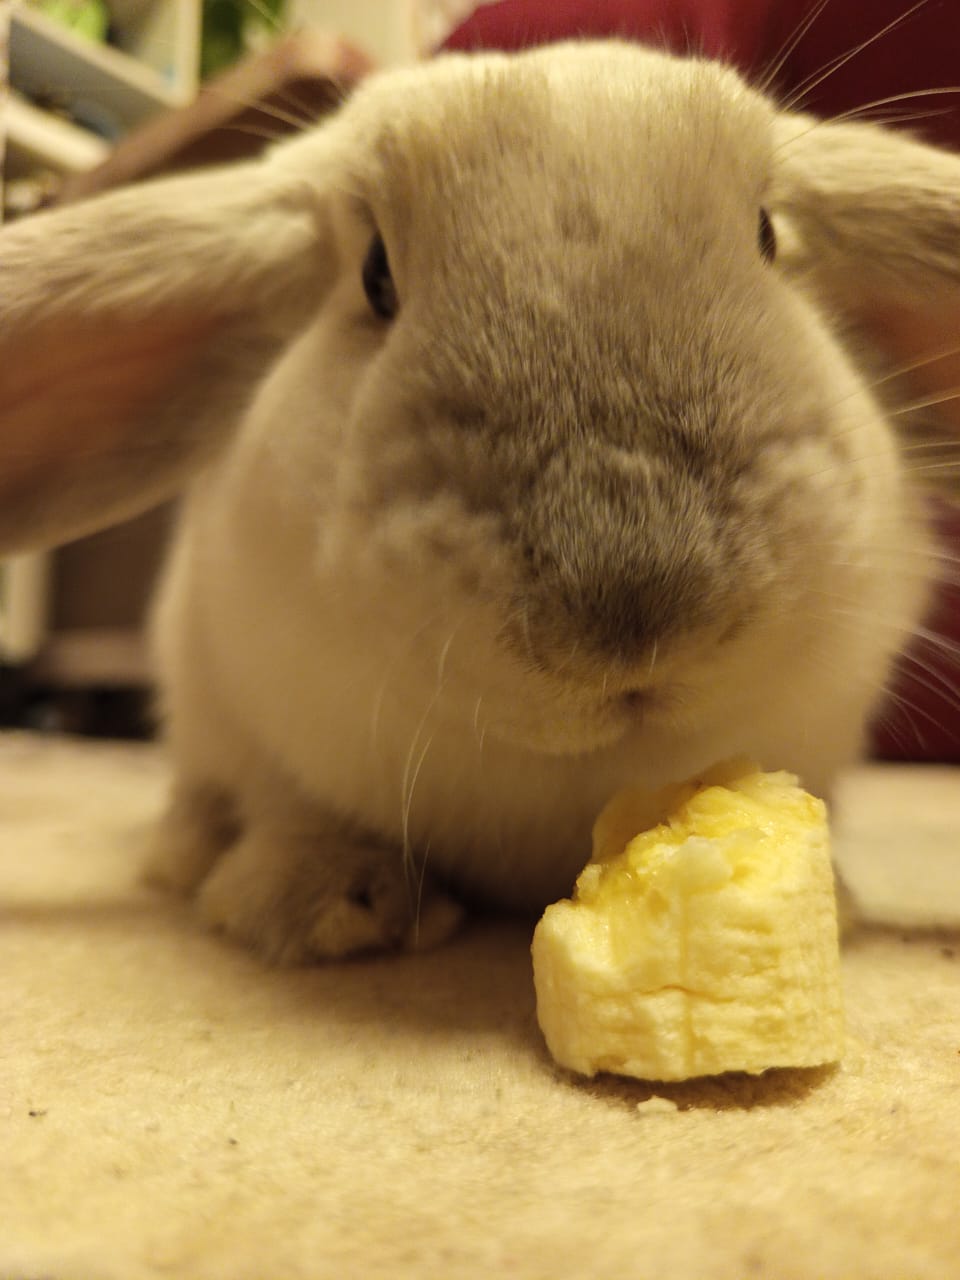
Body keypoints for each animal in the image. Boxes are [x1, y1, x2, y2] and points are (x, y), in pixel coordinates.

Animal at [1, 40, 958, 963]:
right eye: (374, 275)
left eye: (767, 236)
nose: (634, 616)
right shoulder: (250, 715)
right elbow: (292, 808)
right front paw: (326, 906)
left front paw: (834, 903)